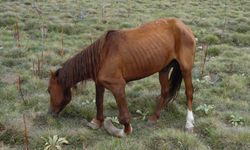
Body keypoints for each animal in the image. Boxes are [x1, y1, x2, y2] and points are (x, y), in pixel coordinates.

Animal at [47, 18, 196, 137]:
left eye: (49, 90)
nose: (50, 113)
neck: (103, 55)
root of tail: (184, 26)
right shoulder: (99, 83)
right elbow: (98, 103)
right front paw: (96, 122)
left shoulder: (117, 86)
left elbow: (123, 116)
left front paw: (125, 131)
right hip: (164, 69)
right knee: (165, 92)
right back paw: (154, 117)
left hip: (185, 68)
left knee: (189, 92)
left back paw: (189, 124)